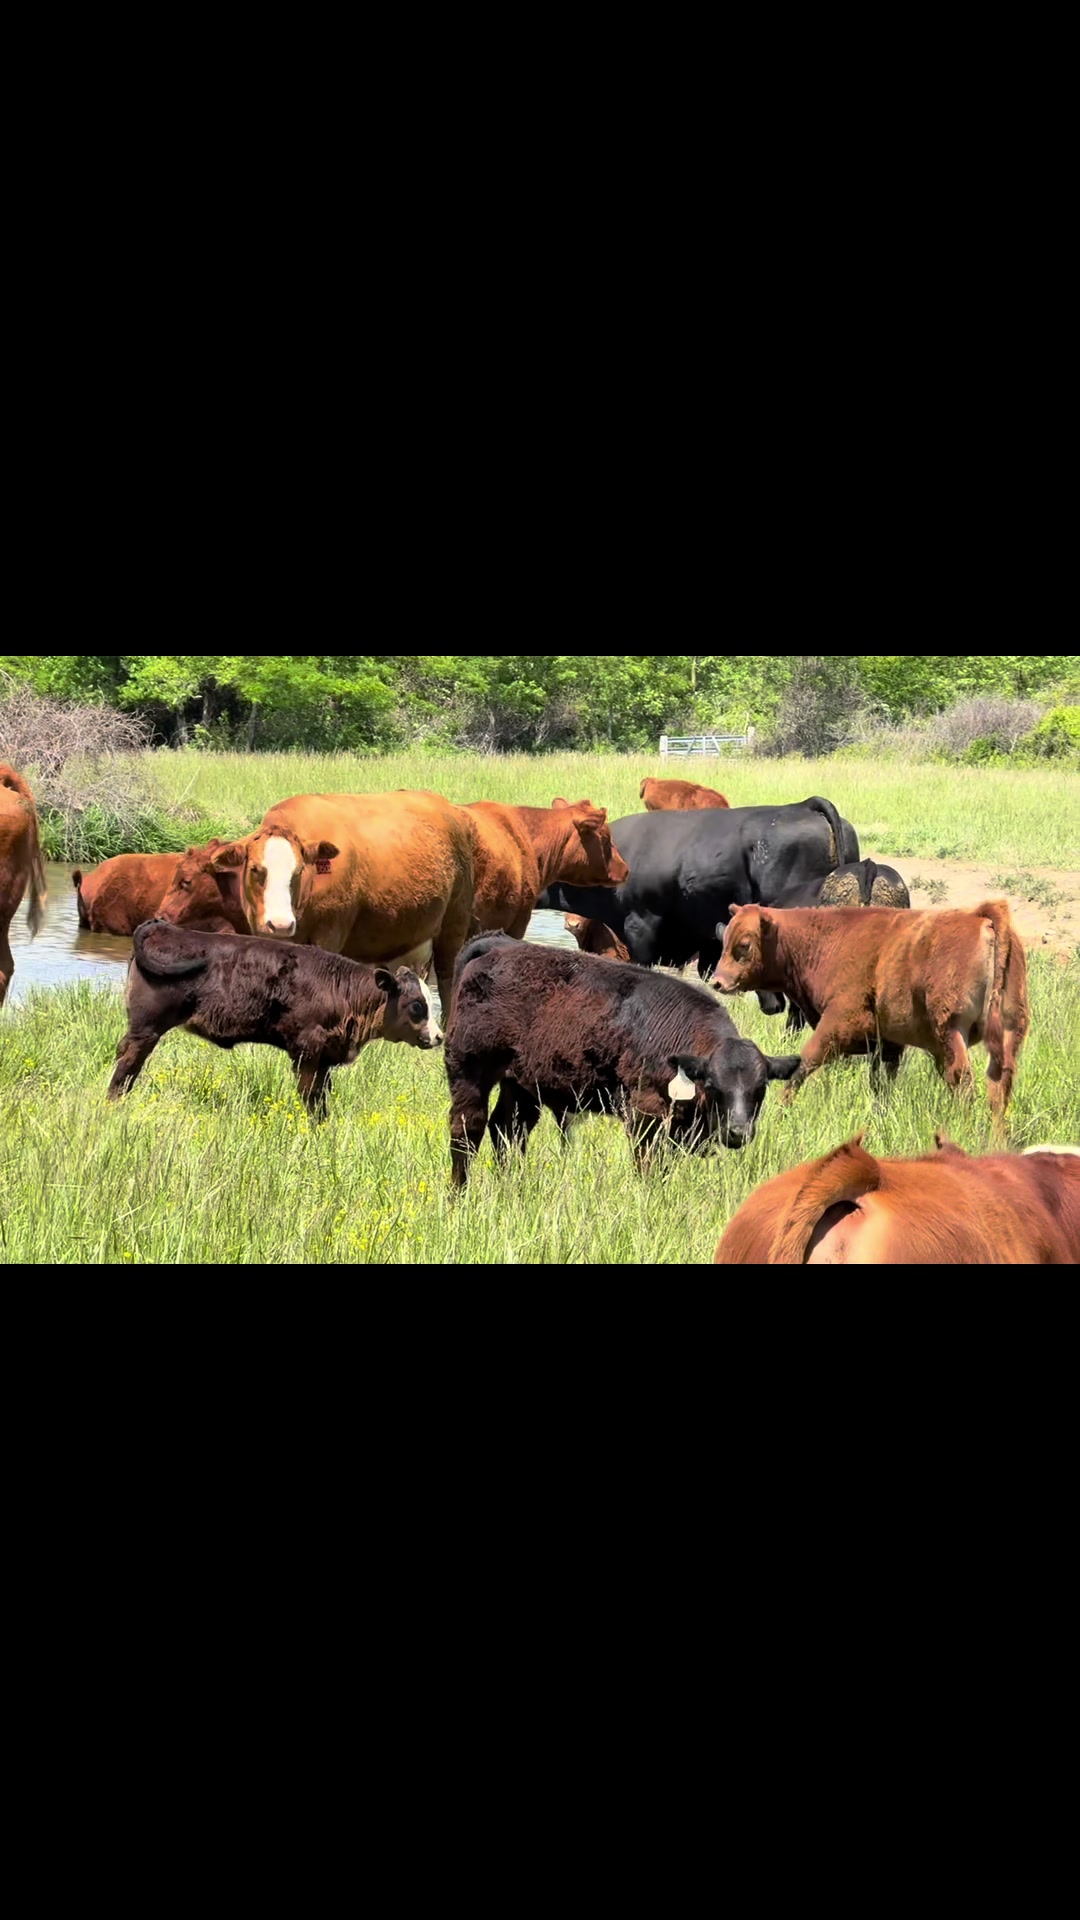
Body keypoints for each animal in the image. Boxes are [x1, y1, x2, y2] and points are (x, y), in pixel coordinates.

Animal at [108, 920, 443, 1117]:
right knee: (127, 1066)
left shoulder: (325, 1057)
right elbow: (309, 1095)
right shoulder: (306, 1050)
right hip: (146, 1028)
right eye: (417, 1005)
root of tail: (163, 927)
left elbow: (322, 1098)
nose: (439, 1036)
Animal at [154, 790, 476, 1015]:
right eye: (256, 869)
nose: (281, 924)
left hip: (454, 925)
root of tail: (452, 812)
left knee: (447, 979)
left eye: (298, 871)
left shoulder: (328, 936)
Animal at [444, 934, 801, 1185]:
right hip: (469, 1071)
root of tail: (499, 945)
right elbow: (649, 1165)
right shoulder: (645, 1114)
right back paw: (459, 1195)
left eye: (760, 1088)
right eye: (713, 1085)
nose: (737, 1131)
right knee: (467, 1132)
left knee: (508, 1131)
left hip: (520, 1084)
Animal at [713, 900, 1029, 1116]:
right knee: (998, 1087)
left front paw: (781, 1109)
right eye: (724, 941)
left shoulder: (836, 1024)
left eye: (744, 945)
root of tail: (980, 916)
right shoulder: (887, 1045)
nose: (717, 982)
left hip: (951, 1032)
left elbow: (804, 1063)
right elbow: (881, 1084)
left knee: (962, 1081)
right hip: (1006, 1033)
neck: (828, 941)